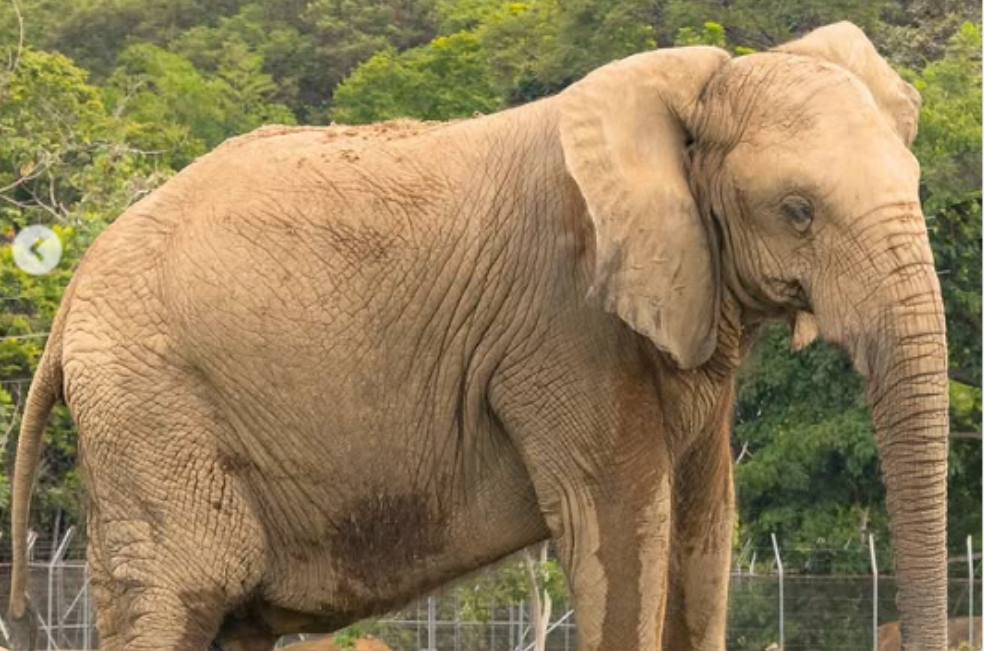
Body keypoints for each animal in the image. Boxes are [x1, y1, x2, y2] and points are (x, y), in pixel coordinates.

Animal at [6, 21, 949, 651]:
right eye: (797, 210)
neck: (688, 92)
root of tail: (73, 291)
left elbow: (704, 530)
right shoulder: (565, 328)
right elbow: (623, 529)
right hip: (150, 413)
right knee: (181, 597)